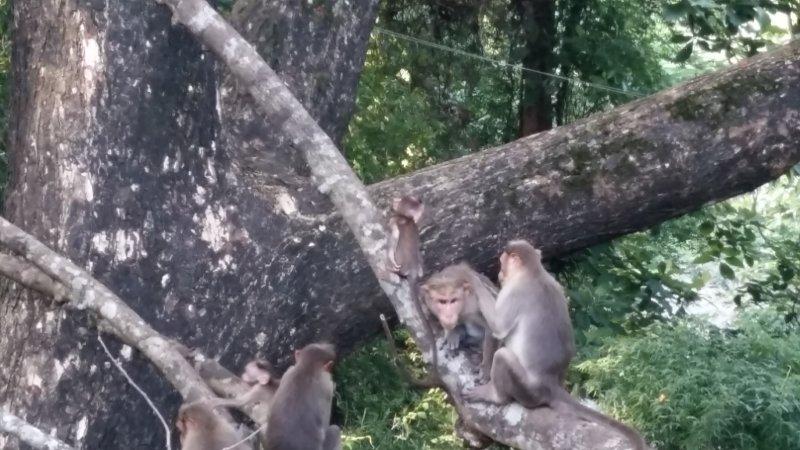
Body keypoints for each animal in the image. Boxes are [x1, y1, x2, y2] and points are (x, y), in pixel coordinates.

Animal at [462, 243, 648, 450]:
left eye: (502, 264)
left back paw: (495, 396)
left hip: (529, 390)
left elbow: (497, 327)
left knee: (503, 356)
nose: (500, 274)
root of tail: (552, 385)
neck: (533, 272)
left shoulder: (512, 293)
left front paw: (474, 279)